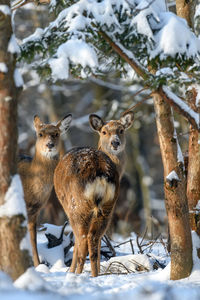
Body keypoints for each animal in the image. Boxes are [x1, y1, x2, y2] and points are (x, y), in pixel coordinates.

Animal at [18, 113, 72, 266]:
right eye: (40, 134)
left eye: (56, 134)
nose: (50, 144)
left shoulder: (34, 212)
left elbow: (33, 241)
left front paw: (38, 265)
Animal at [54, 110, 134, 276]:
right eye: (104, 132)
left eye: (121, 130)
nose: (115, 143)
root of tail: (100, 173)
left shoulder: (68, 209)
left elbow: (76, 243)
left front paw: (71, 271)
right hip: (108, 206)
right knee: (95, 238)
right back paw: (95, 274)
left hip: (77, 205)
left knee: (84, 239)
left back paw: (78, 274)